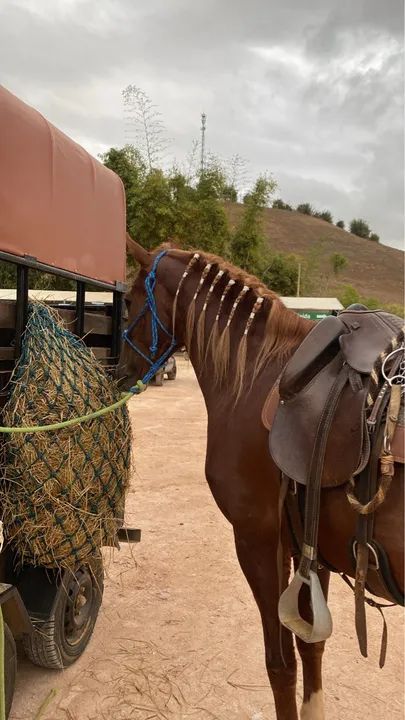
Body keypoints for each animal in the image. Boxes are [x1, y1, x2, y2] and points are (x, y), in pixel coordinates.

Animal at [118, 237, 404, 720]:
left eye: (128, 301)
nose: (117, 370)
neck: (256, 374)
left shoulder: (257, 541)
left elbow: (280, 664)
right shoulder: (309, 545)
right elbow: (311, 649)